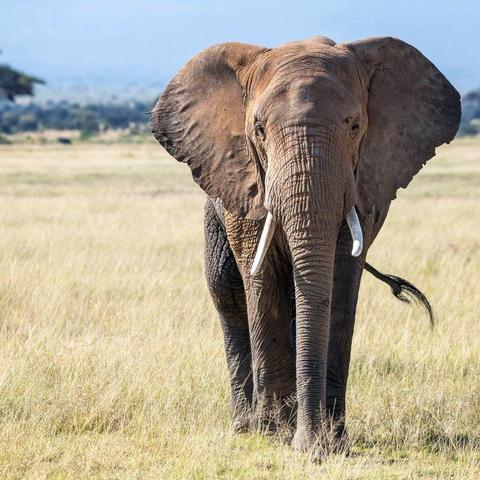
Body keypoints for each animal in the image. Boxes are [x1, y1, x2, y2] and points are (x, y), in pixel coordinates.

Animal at [151, 36, 462, 458]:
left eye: (355, 126)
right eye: (259, 129)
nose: (311, 447)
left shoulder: (362, 183)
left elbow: (340, 281)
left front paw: (332, 441)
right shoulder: (249, 180)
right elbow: (261, 277)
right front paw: (275, 436)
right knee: (226, 290)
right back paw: (247, 426)